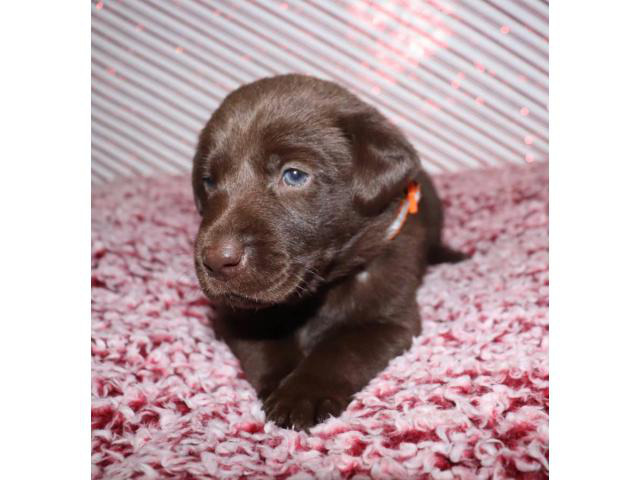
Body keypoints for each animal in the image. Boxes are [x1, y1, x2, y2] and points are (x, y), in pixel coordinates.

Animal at [190, 75, 464, 432]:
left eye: (294, 175)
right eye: (209, 181)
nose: (216, 260)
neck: (318, 291)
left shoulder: (389, 319)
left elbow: (341, 349)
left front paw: (302, 394)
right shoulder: (237, 316)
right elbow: (267, 345)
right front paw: (282, 383)